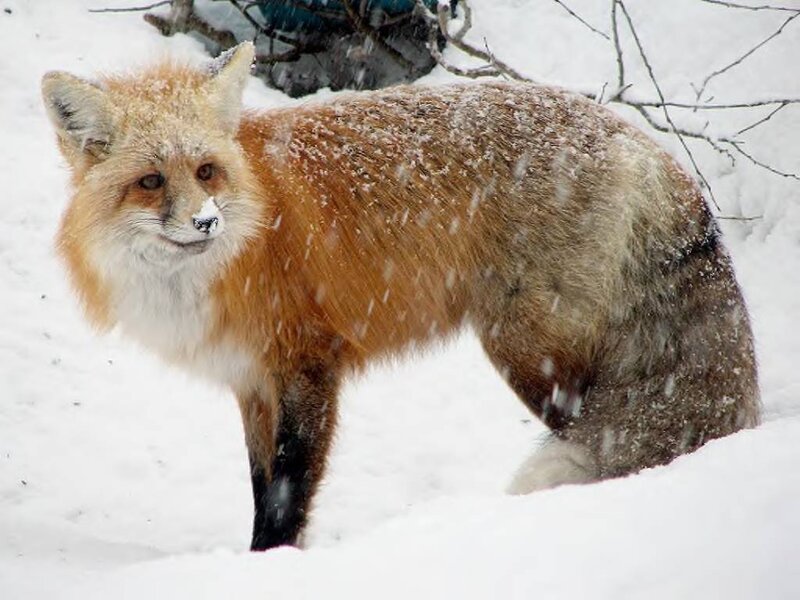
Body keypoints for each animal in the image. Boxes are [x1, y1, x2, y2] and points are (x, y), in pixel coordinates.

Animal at [42, 42, 759, 551]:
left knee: (604, 433)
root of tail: (632, 135)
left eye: (206, 171)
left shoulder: (307, 364)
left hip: (531, 352)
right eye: (150, 181)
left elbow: (285, 496)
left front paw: (272, 567)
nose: (206, 223)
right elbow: (259, 486)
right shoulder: (251, 382)